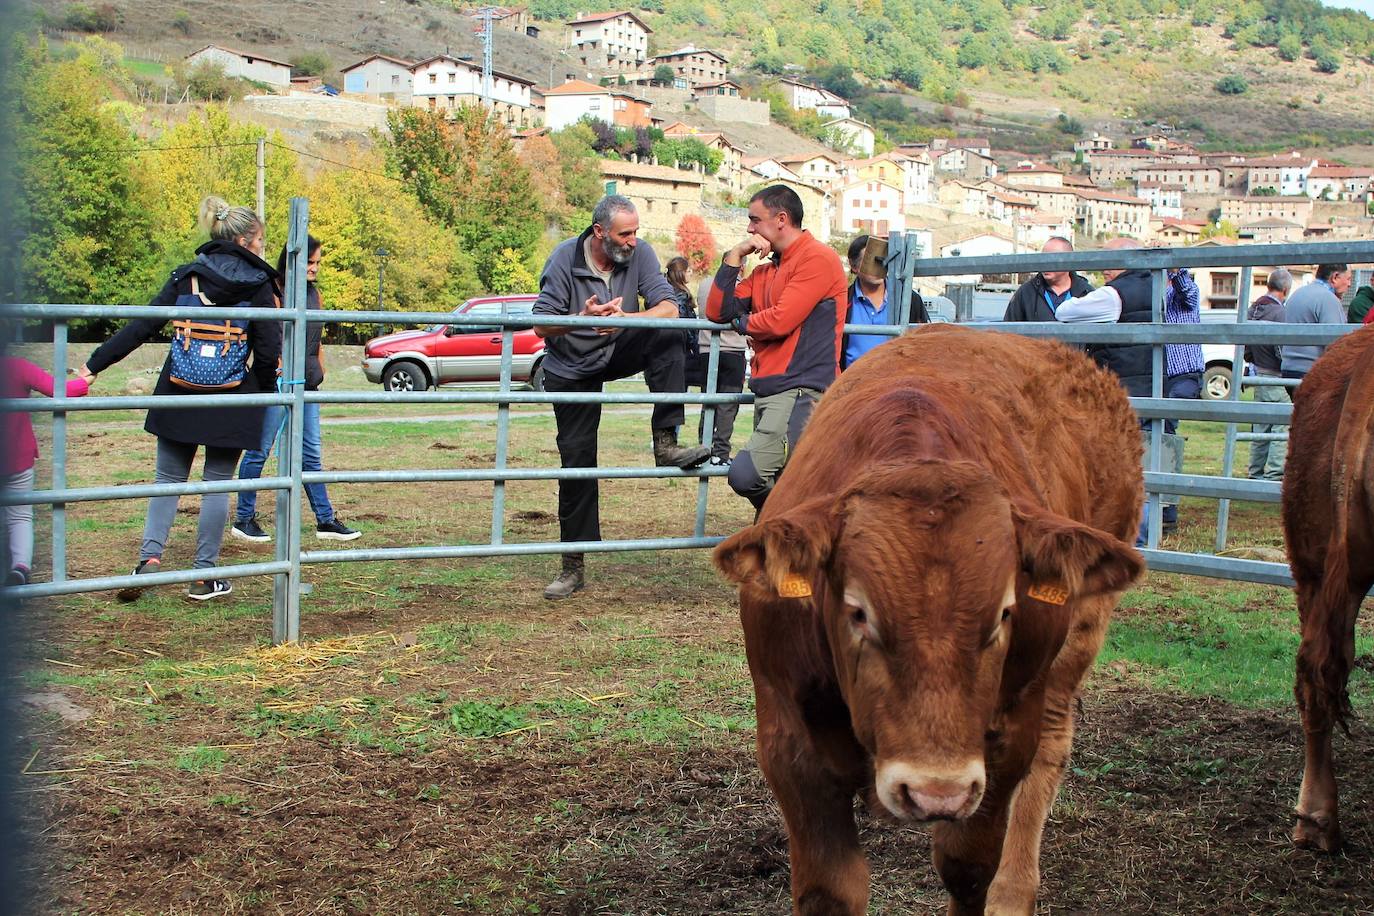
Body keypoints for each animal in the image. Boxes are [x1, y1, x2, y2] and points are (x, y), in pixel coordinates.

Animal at [714, 325, 1143, 911]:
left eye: (1005, 611)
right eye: (858, 611)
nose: (935, 791)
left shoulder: (1006, 741)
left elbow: (967, 866)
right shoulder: (789, 739)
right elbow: (831, 889)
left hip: (1078, 638)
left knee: (1052, 747)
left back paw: (1014, 890)